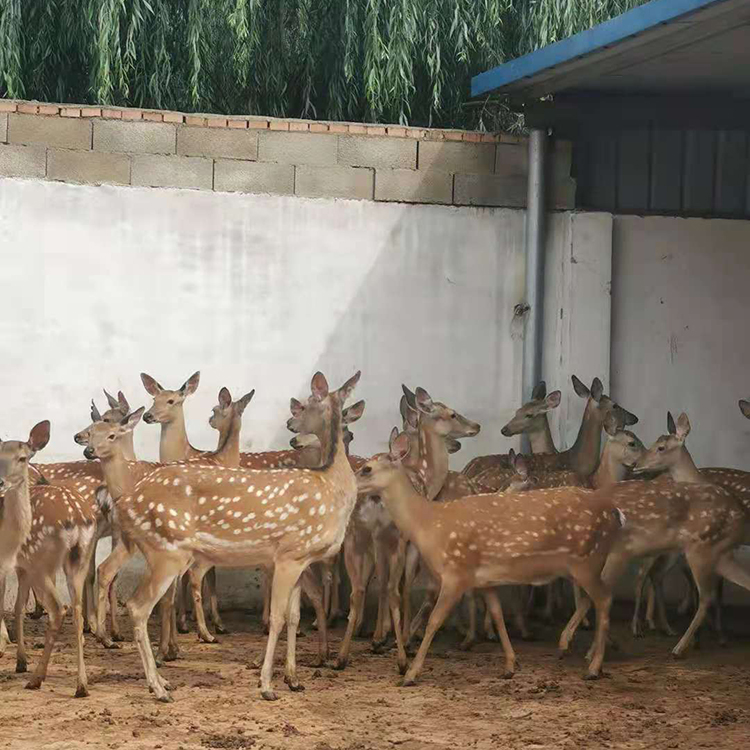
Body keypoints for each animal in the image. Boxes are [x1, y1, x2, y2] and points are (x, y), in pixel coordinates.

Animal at [356, 428, 624, 688]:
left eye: (367, 468)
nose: (351, 483)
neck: (428, 524)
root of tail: (615, 513)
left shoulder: (456, 572)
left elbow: (434, 620)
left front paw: (410, 673)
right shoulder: (484, 580)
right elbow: (497, 615)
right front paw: (510, 666)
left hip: (587, 560)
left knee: (604, 599)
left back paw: (593, 667)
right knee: (594, 600)